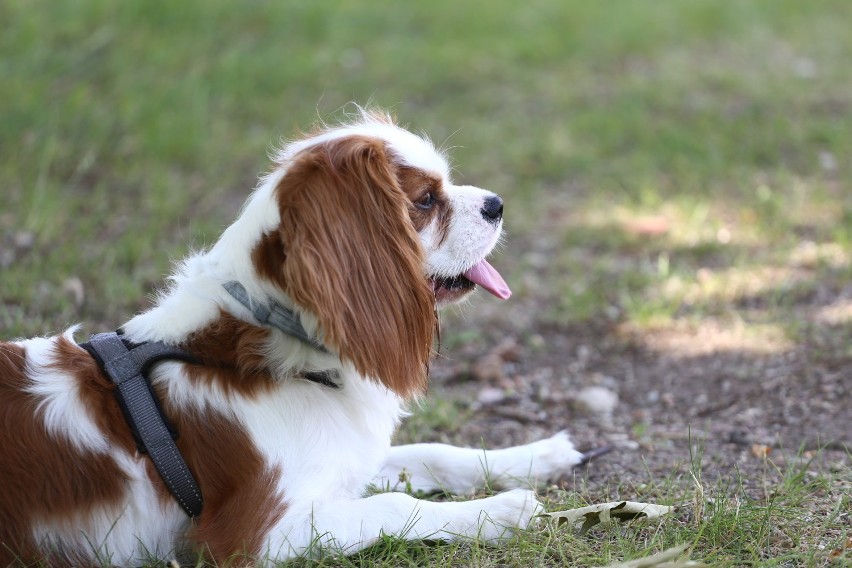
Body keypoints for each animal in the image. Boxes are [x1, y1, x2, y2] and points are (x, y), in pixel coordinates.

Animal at [0, 108, 584, 564]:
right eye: (424, 201)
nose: (496, 203)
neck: (259, 347)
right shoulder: (256, 536)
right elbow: (395, 505)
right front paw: (503, 510)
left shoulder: (346, 459)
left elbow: (433, 452)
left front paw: (537, 456)